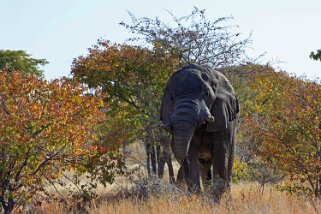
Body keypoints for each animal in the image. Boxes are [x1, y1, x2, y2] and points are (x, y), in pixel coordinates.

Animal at [159, 63, 238, 201]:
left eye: (207, 94)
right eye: (172, 97)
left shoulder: (223, 117)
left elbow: (221, 151)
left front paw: (217, 200)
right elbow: (190, 152)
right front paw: (198, 199)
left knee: (229, 161)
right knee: (204, 167)